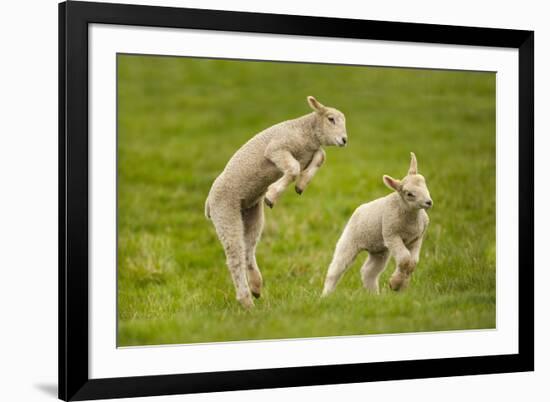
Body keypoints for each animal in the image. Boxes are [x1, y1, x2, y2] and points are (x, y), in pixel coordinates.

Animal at [205, 96, 352, 308]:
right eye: (331, 119)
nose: (344, 140)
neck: (305, 132)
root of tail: (208, 203)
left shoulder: (310, 152)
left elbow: (320, 157)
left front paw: (301, 185)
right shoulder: (276, 149)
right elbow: (294, 167)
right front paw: (272, 194)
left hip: (251, 212)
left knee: (248, 249)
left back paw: (256, 287)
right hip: (225, 211)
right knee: (235, 257)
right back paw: (246, 301)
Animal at [322, 152, 434, 296]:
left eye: (425, 184)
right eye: (409, 194)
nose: (428, 202)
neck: (411, 217)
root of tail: (359, 209)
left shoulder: (416, 238)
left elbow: (412, 262)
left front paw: (400, 284)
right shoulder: (391, 235)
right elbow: (404, 259)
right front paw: (395, 283)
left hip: (379, 250)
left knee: (369, 271)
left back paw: (374, 295)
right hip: (349, 240)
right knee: (336, 269)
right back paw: (325, 295)